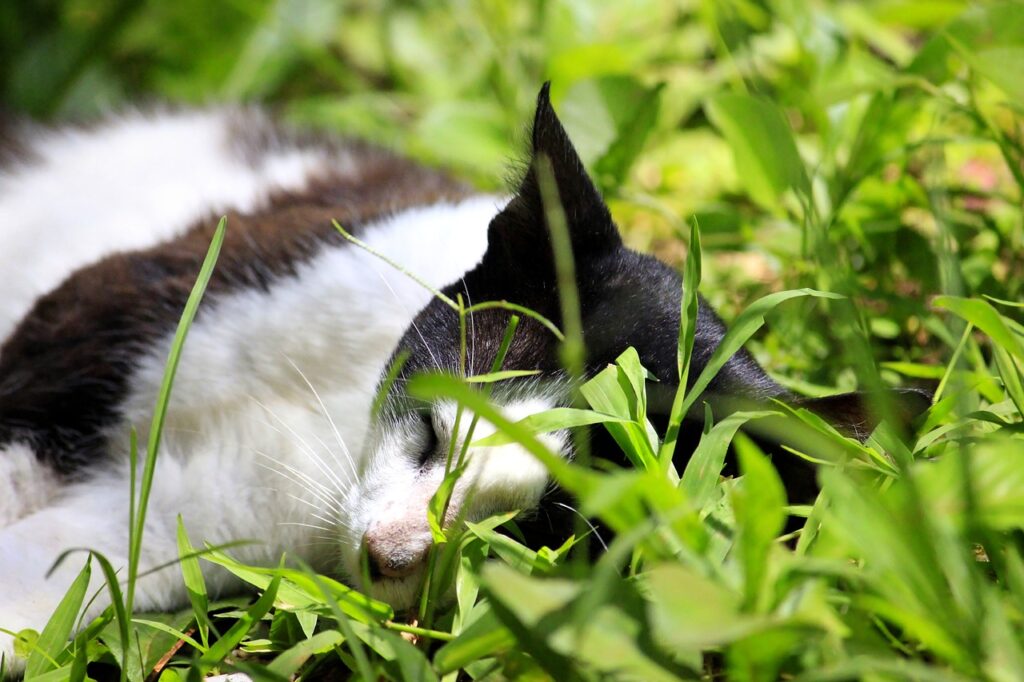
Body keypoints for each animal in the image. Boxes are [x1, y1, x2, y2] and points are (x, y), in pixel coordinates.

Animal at [0, 83, 929, 663]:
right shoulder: (116, 311)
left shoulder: (188, 519)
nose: (388, 555)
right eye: (430, 430)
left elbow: (52, 578)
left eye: (532, 531)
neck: (332, 430)